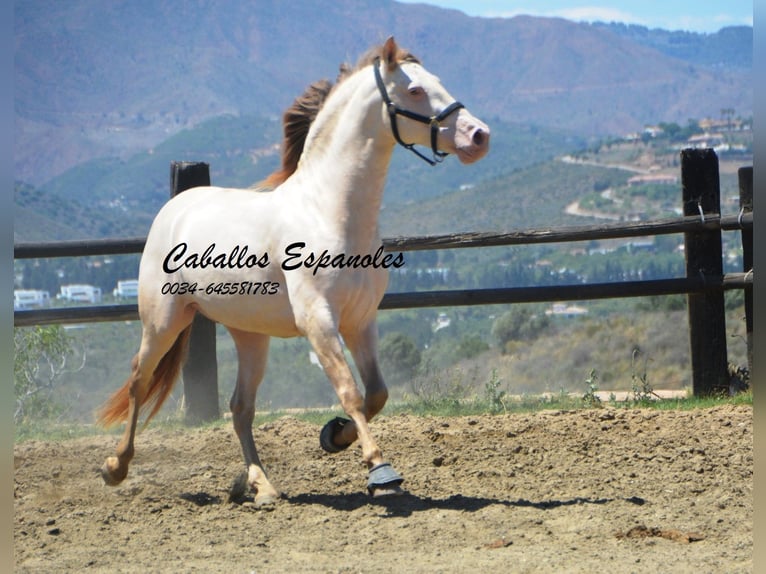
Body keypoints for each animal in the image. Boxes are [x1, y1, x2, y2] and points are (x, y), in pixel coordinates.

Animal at [97, 36, 492, 506]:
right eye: (415, 91)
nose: (479, 136)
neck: (330, 212)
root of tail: (176, 206)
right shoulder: (318, 320)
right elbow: (351, 392)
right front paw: (381, 471)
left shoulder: (361, 321)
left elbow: (376, 393)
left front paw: (334, 436)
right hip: (163, 319)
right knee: (140, 382)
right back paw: (115, 467)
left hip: (250, 334)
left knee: (240, 407)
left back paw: (259, 485)